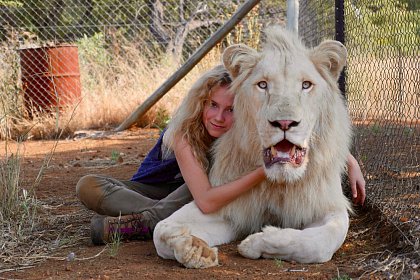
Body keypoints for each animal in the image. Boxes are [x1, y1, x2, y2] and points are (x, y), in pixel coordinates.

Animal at [153, 26, 352, 270]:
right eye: (263, 85)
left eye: (306, 85)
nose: (284, 123)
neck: (278, 184)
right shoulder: (227, 205)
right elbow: (161, 229)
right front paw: (193, 248)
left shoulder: (327, 205)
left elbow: (321, 241)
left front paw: (258, 242)